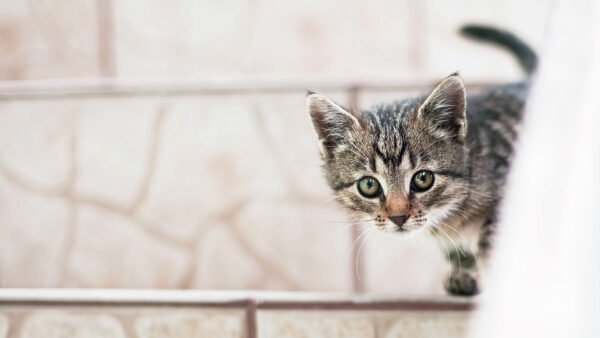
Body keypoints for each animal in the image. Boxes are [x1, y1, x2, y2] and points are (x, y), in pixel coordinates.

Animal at [308, 25, 536, 296]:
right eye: (368, 185)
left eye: (423, 179)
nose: (398, 217)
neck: (451, 214)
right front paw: (464, 274)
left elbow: (494, 238)